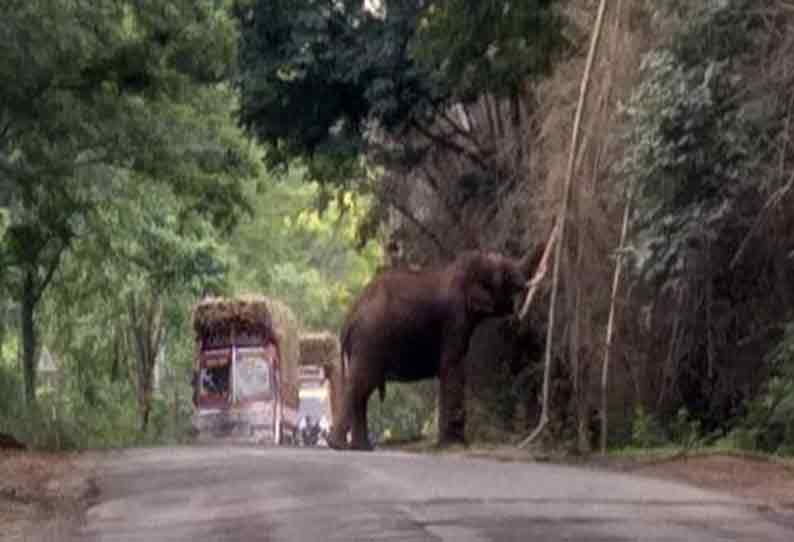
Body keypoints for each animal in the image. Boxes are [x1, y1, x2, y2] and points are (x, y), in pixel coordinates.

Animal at [324, 249, 540, 452]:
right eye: (505, 275)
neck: (463, 269)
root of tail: (349, 317)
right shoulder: (455, 318)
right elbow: (453, 367)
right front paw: (454, 445)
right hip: (369, 340)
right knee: (360, 385)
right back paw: (339, 445)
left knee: (363, 390)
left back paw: (362, 447)